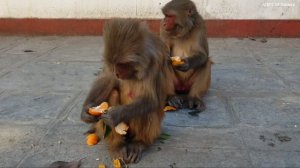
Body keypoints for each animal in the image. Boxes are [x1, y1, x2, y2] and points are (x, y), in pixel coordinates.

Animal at [80, 18, 173, 164]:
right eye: (114, 64)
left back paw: (139, 143)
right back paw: (117, 146)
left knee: (145, 108)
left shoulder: (154, 63)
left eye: (121, 64)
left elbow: (151, 99)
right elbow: (107, 79)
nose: (117, 73)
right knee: (112, 93)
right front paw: (86, 110)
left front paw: (115, 115)